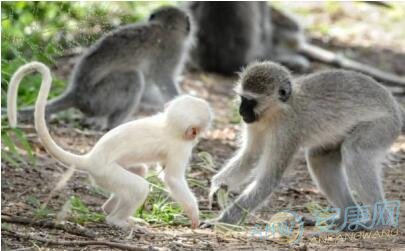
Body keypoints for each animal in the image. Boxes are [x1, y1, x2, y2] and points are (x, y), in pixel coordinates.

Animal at [7, 61, 213, 228]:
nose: (199, 137)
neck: (168, 124)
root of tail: (90, 158)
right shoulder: (181, 147)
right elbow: (173, 180)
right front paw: (194, 215)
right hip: (104, 173)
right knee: (139, 187)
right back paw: (116, 220)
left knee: (139, 171)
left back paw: (109, 209)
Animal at [11, 6, 191, 129]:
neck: (165, 27)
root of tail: (76, 94)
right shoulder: (172, 51)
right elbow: (163, 80)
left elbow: (148, 91)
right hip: (99, 99)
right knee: (133, 78)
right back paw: (115, 126)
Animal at [207, 60, 402, 229]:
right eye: (243, 98)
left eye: (251, 101)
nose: (241, 111)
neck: (276, 112)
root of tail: (394, 104)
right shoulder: (254, 123)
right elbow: (251, 155)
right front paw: (218, 186)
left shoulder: (287, 131)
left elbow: (268, 180)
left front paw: (220, 222)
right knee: (319, 158)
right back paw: (346, 218)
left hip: (384, 125)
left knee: (355, 153)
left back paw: (380, 223)